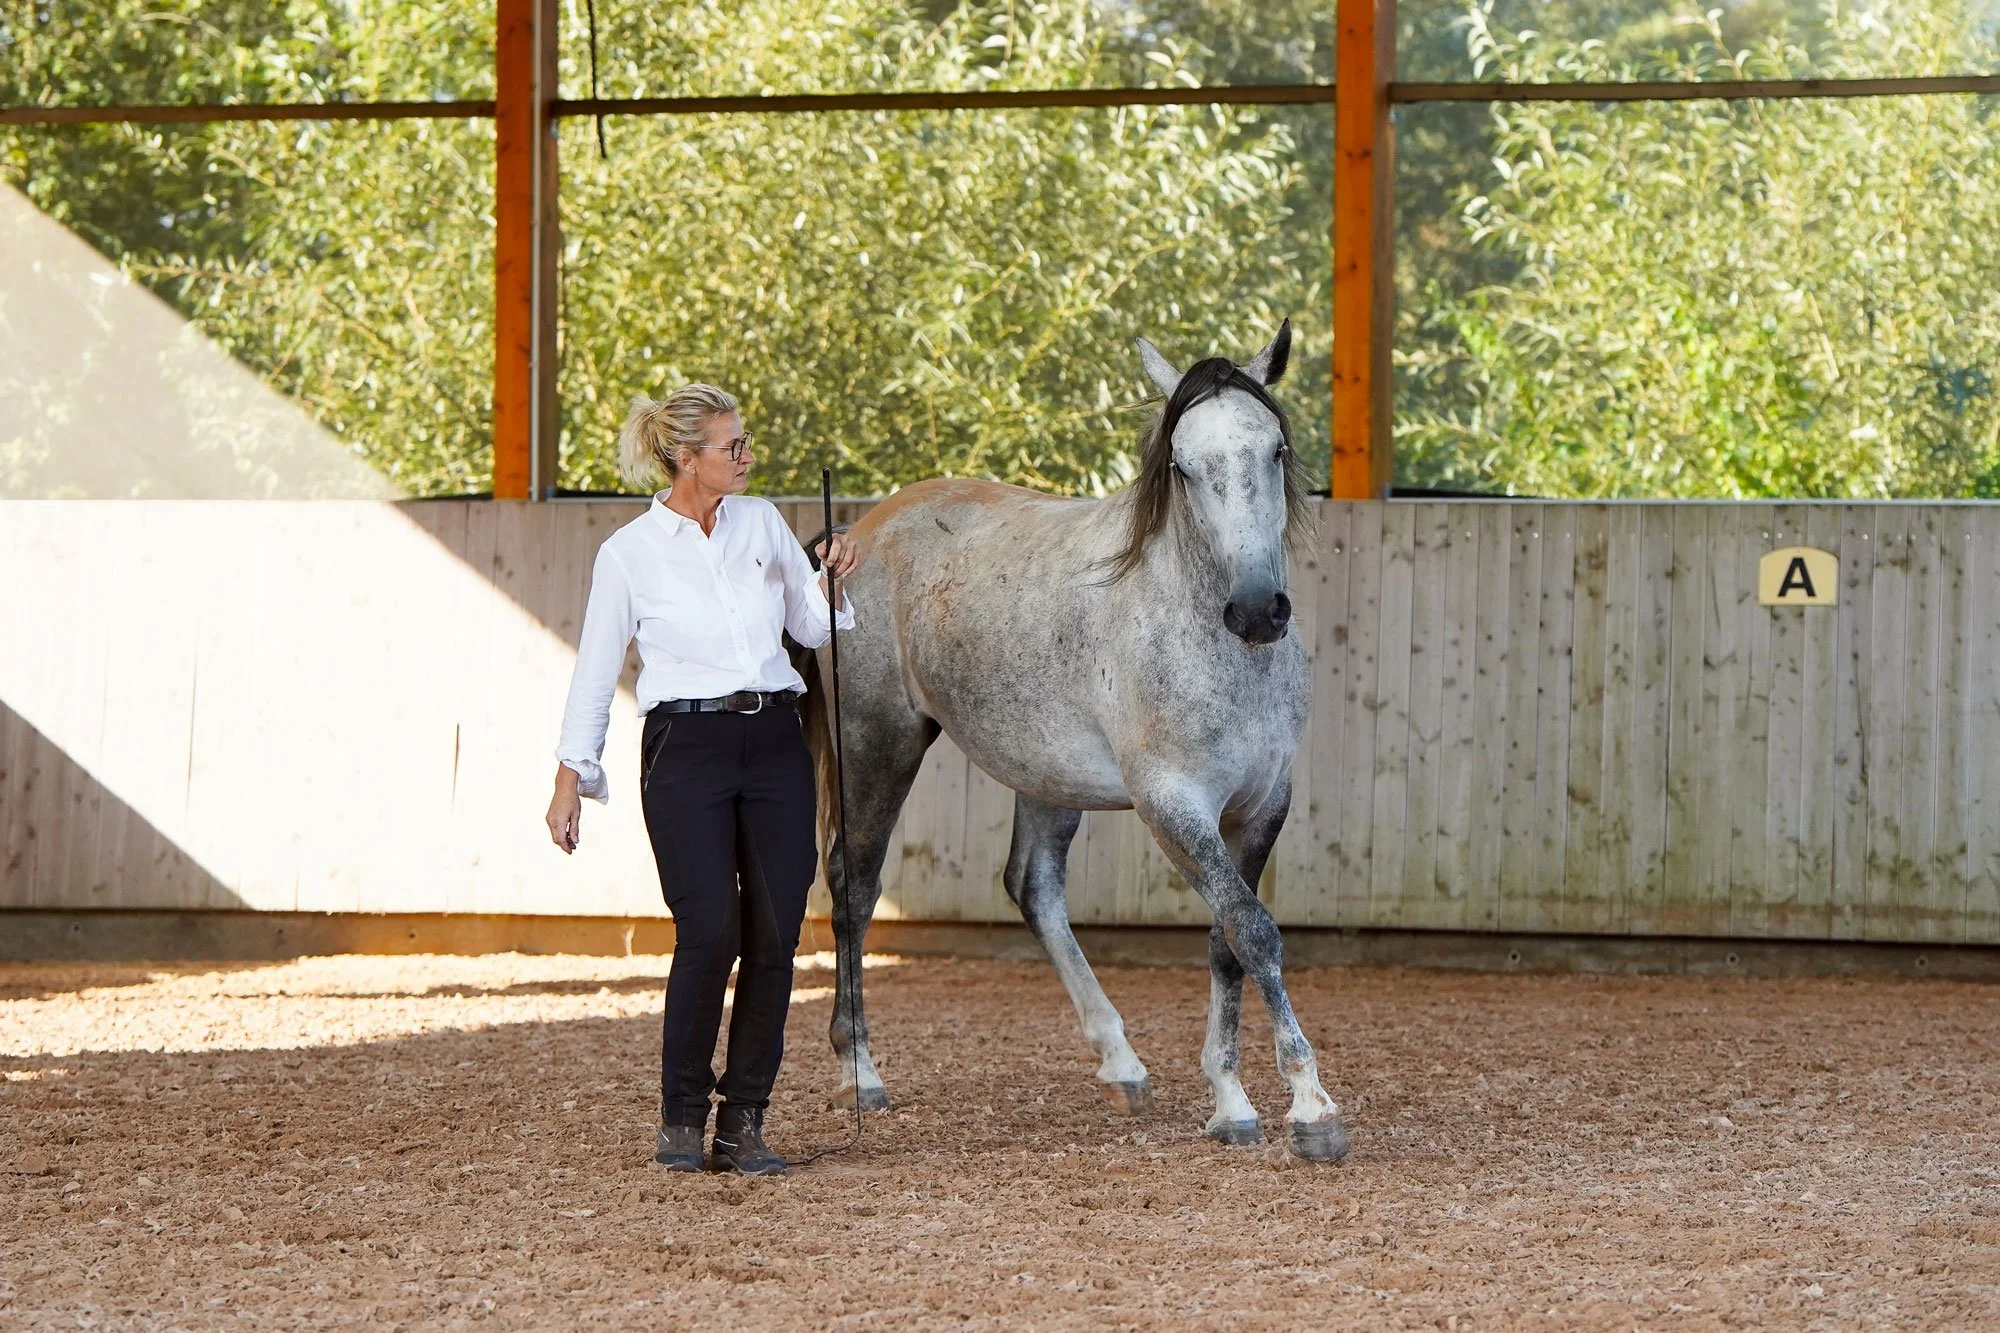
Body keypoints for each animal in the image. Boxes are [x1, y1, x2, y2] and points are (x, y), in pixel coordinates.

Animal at [793, 319, 1347, 1161]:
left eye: (1275, 450)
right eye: (1182, 465)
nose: (1257, 609)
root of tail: (851, 536)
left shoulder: (1261, 806)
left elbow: (1228, 936)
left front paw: (1230, 1101)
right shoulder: (1172, 805)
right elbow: (1253, 928)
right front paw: (1311, 1106)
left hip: (1046, 776)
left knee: (1033, 887)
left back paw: (1121, 1062)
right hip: (877, 744)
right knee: (854, 887)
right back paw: (860, 1073)